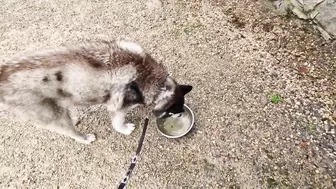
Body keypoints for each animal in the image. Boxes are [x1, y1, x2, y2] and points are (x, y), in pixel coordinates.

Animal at [0, 39, 192, 143]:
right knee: (70, 132)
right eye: (174, 111)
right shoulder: (117, 107)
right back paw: (84, 138)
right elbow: (118, 123)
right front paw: (124, 129)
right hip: (53, 116)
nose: (181, 114)